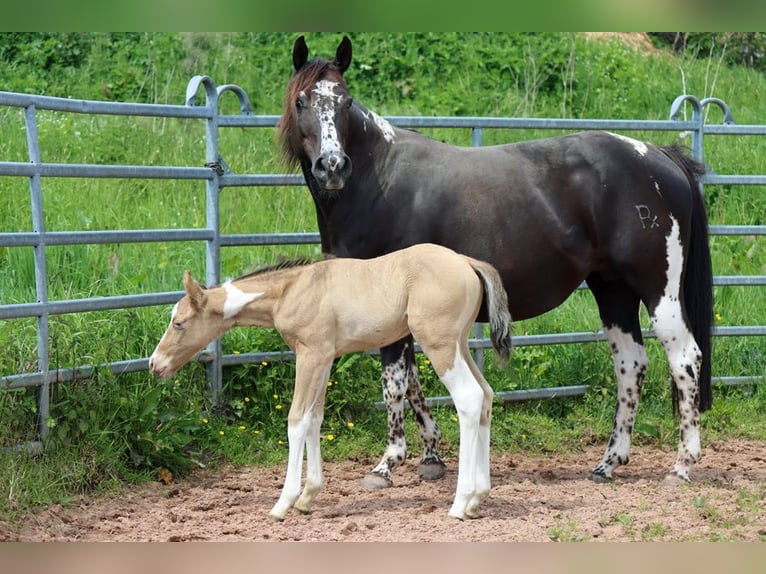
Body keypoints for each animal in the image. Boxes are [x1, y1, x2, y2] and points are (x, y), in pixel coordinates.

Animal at [149, 243, 510, 520]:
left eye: (179, 323)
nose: (155, 364)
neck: (291, 290)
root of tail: (466, 262)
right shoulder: (324, 358)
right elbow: (314, 418)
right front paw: (308, 497)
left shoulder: (309, 355)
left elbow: (296, 419)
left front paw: (283, 503)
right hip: (459, 344)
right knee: (486, 395)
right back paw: (478, 499)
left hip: (439, 345)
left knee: (469, 399)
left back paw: (460, 504)